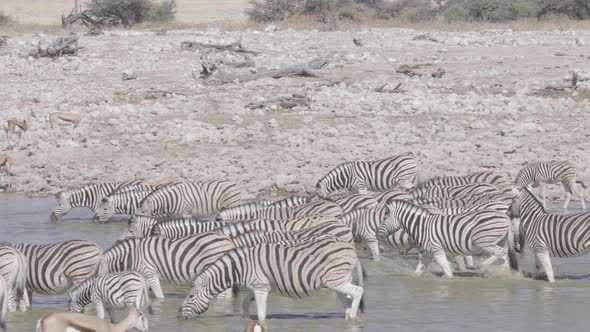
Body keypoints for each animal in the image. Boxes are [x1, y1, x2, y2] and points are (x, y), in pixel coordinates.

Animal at [178, 235, 366, 320]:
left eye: (191, 296)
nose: (178, 316)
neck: (241, 267)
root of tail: (350, 247)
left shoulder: (260, 287)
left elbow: (261, 315)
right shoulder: (259, 284)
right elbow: (245, 303)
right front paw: (246, 319)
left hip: (335, 280)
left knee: (358, 291)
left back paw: (353, 318)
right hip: (338, 282)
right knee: (348, 300)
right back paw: (348, 319)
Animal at [380, 201, 520, 278]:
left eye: (385, 218)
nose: (378, 234)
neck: (422, 227)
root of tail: (506, 217)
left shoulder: (437, 250)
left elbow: (447, 272)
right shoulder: (426, 254)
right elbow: (418, 271)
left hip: (483, 241)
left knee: (501, 254)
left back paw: (488, 268)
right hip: (499, 241)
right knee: (503, 255)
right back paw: (502, 272)